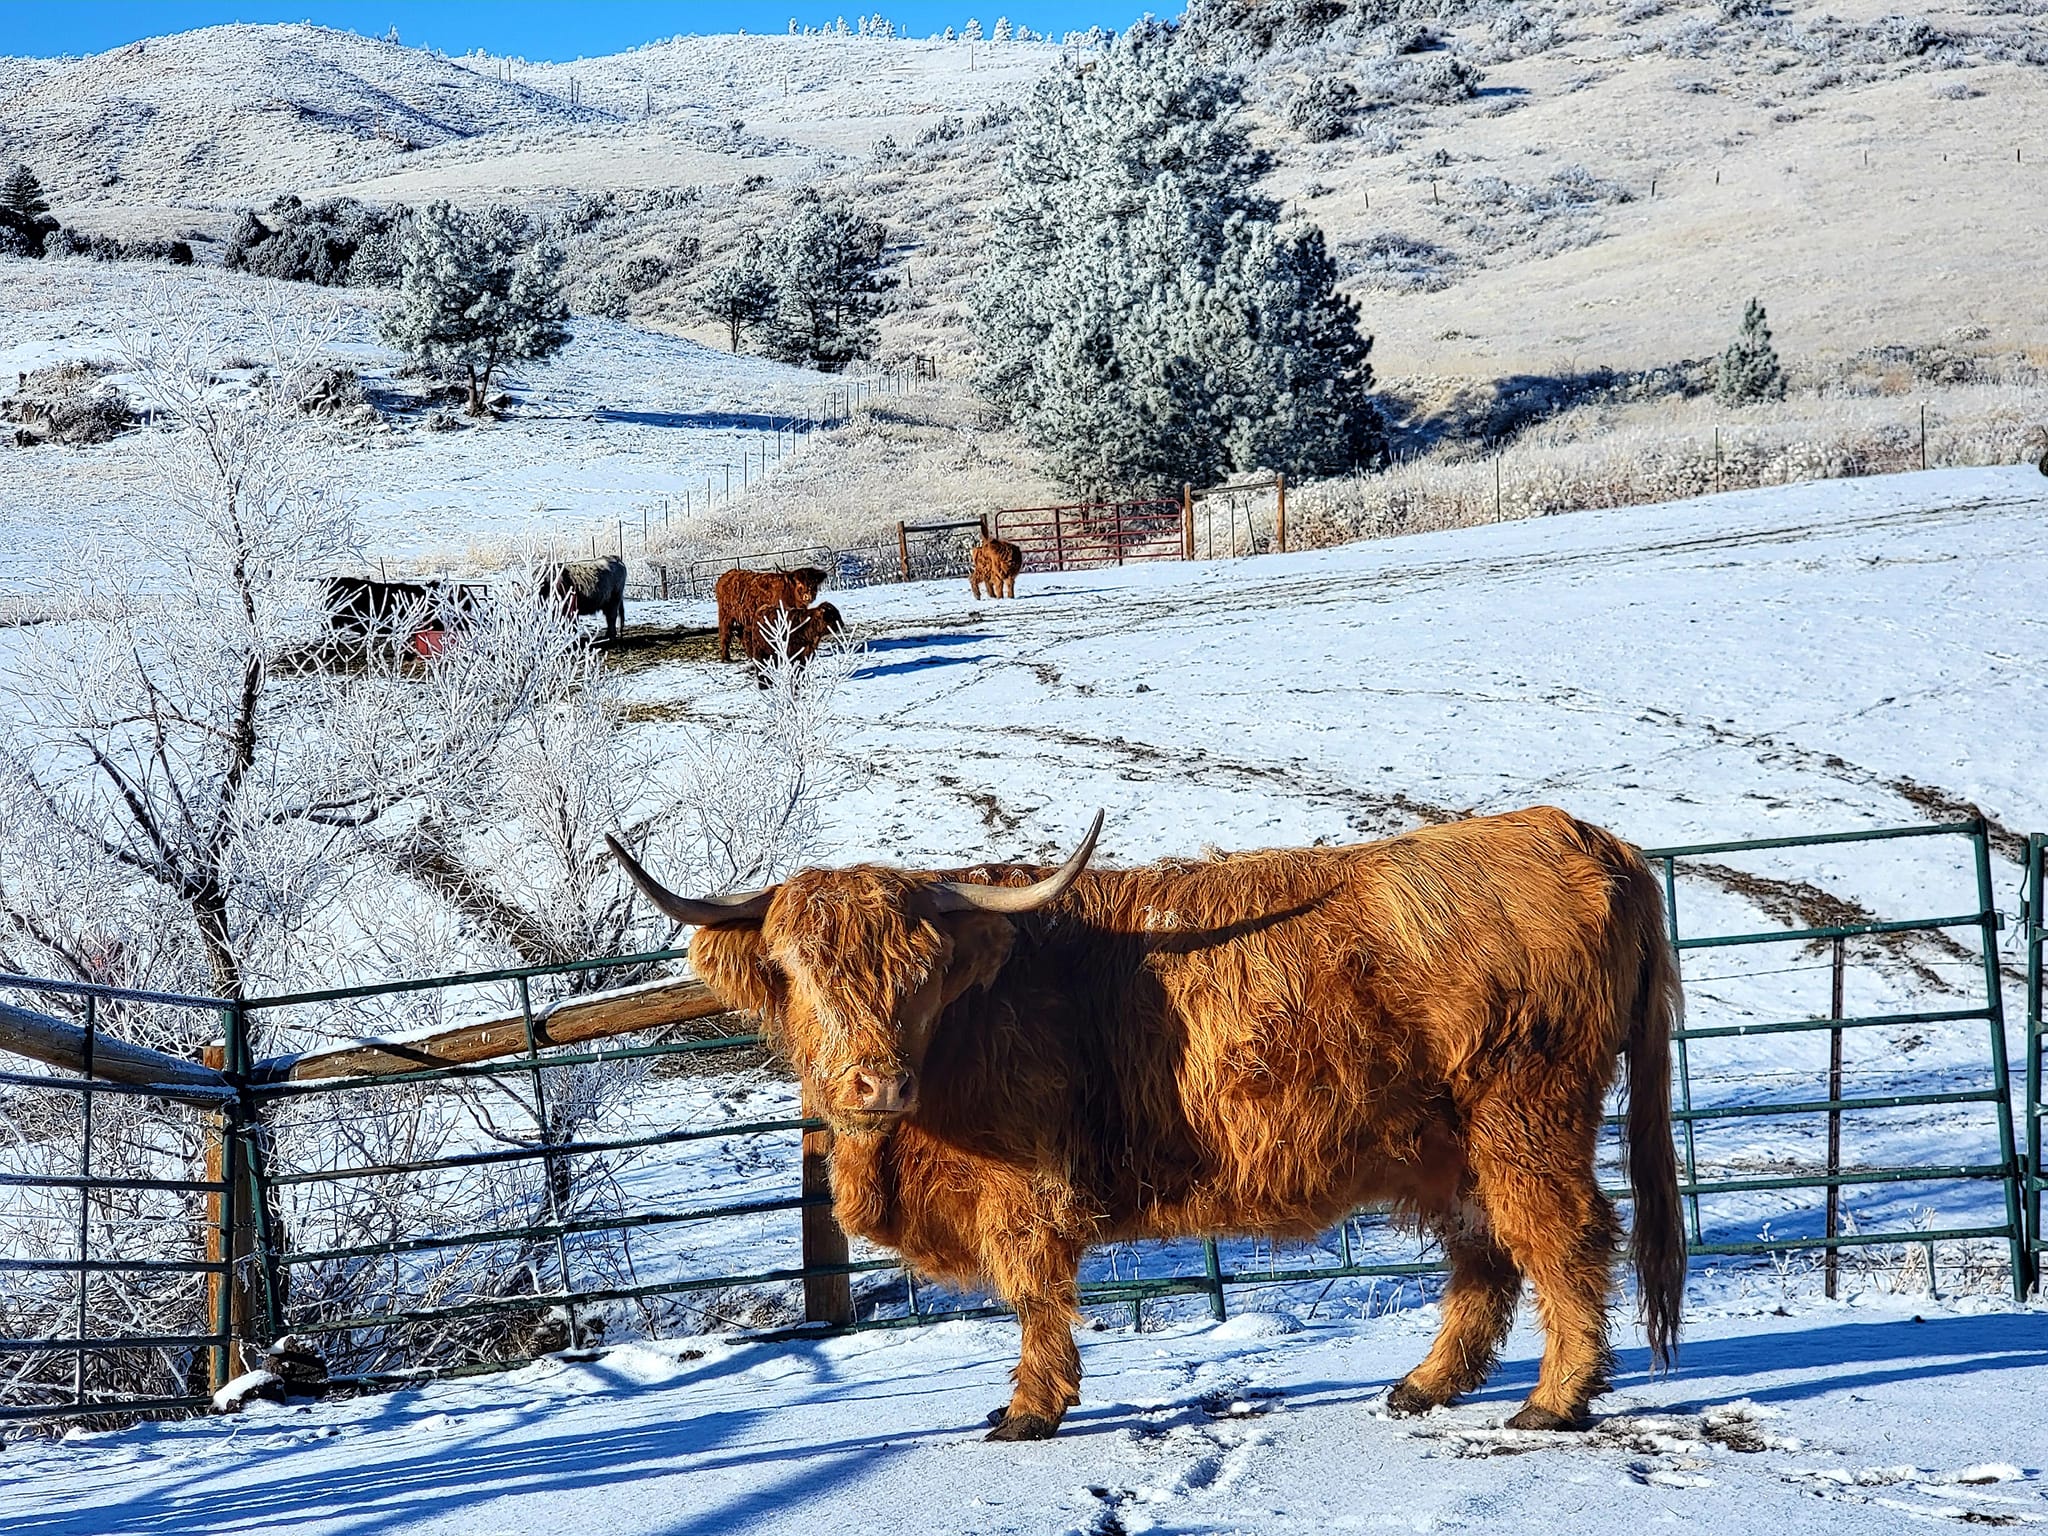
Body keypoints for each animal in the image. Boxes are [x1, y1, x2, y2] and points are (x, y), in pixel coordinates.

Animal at [602, 811, 1679, 1449]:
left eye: (921, 973)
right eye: (796, 970)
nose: (877, 1078)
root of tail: (1583, 837)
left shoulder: (1025, 1189)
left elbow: (1034, 1293)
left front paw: (1028, 1411)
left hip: (1522, 1112)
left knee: (1564, 1233)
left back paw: (1557, 1398)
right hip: (1451, 1137)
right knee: (1483, 1251)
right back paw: (1424, 1385)